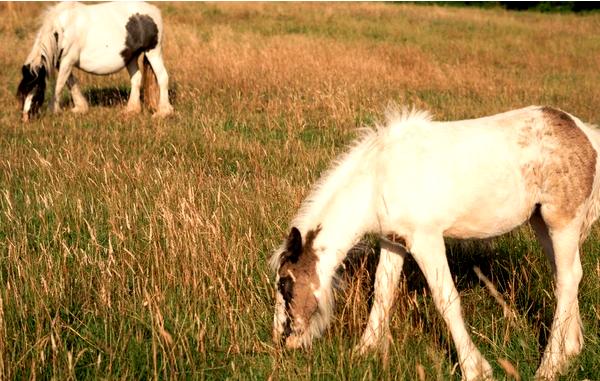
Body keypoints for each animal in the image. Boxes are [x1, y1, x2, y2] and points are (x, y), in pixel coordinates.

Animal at [16, 1, 175, 120]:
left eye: (37, 89)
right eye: (23, 92)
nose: (26, 118)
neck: (63, 28)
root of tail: (154, 11)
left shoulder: (68, 60)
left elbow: (59, 85)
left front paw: (53, 110)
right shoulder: (62, 62)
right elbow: (71, 82)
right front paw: (80, 108)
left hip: (153, 52)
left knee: (162, 77)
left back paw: (163, 112)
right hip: (131, 57)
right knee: (136, 79)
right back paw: (131, 110)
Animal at [274, 106, 600, 380]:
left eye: (285, 285)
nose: (283, 340)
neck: (378, 179)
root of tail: (584, 131)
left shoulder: (426, 240)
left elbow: (446, 299)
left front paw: (474, 368)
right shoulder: (393, 241)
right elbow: (383, 292)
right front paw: (364, 350)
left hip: (562, 222)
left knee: (567, 279)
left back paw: (549, 366)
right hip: (541, 223)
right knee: (567, 276)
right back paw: (570, 350)